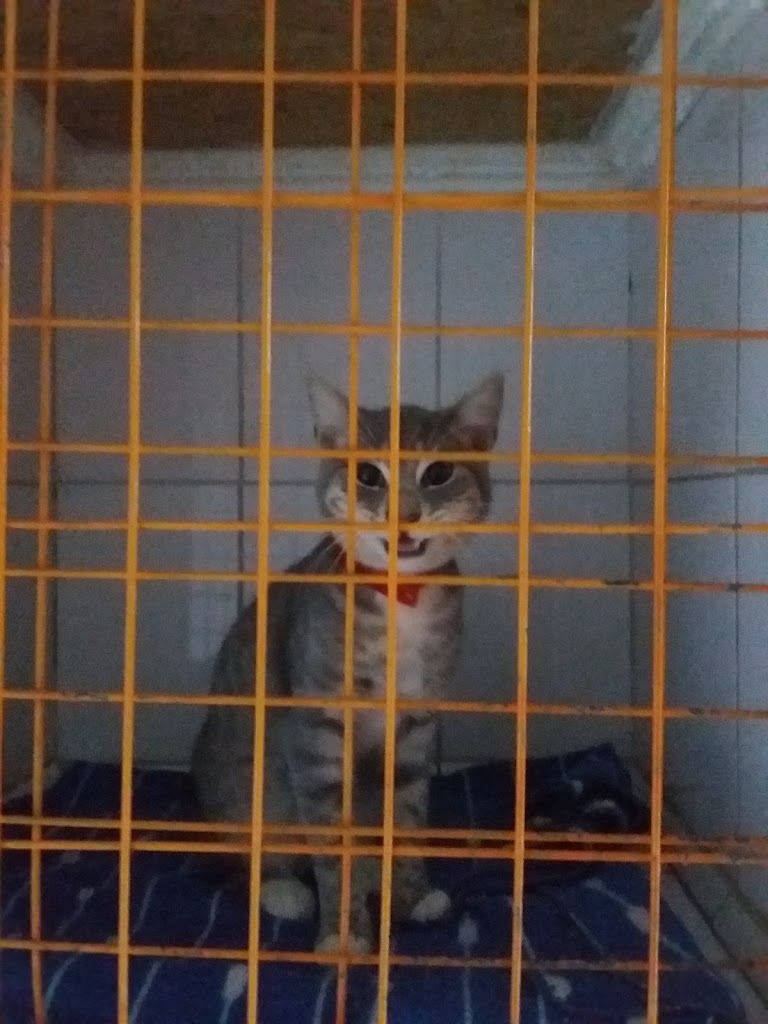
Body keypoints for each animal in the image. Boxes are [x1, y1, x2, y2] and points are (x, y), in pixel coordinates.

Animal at [191, 372, 504, 953]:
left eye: (439, 473)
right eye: (367, 475)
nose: (404, 513)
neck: (401, 601)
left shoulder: (415, 726)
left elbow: (408, 817)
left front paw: (409, 895)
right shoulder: (316, 733)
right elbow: (330, 842)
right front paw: (343, 933)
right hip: (246, 786)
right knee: (255, 851)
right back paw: (284, 889)